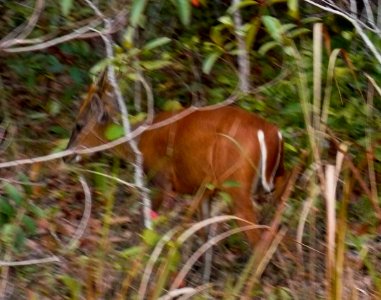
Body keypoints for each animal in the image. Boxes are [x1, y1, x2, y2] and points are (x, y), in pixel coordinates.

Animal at [66, 72, 284, 246]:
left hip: (237, 186)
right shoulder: (203, 189)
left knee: (260, 242)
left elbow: (149, 228)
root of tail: (273, 133)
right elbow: (204, 237)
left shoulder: (161, 180)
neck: (140, 141)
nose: (67, 155)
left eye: (79, 124)